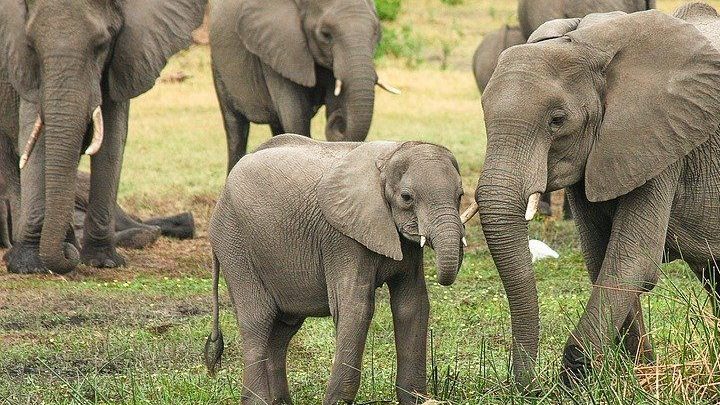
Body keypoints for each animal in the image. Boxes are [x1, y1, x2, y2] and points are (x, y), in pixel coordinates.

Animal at [0, 0, 208, 274]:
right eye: (32, 46)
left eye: (101, 45)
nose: (67, 256)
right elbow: (33, 136)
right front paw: (28, 266)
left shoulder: (124, 58)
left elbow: (112, 138)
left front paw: (103, 262)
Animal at [208, 0, 402, 173]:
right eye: (325, 34)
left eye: (376, 32)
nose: (339, 120)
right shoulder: (281, 49)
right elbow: (295, 116)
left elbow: (333, 104)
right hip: (218, 67)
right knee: (235, 129)